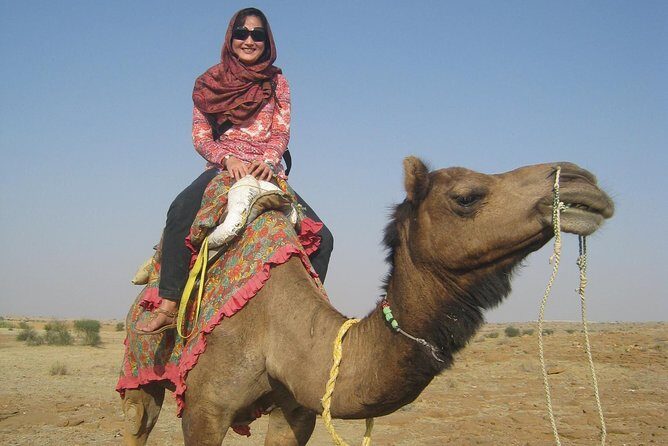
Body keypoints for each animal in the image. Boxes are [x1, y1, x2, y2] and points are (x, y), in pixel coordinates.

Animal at [121, 157, 614, 445]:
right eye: (467, 197)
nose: (583, 181)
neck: (276, 333)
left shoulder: (297, 412)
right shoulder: (204, 409)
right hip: (142, 380)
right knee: (138, 424)